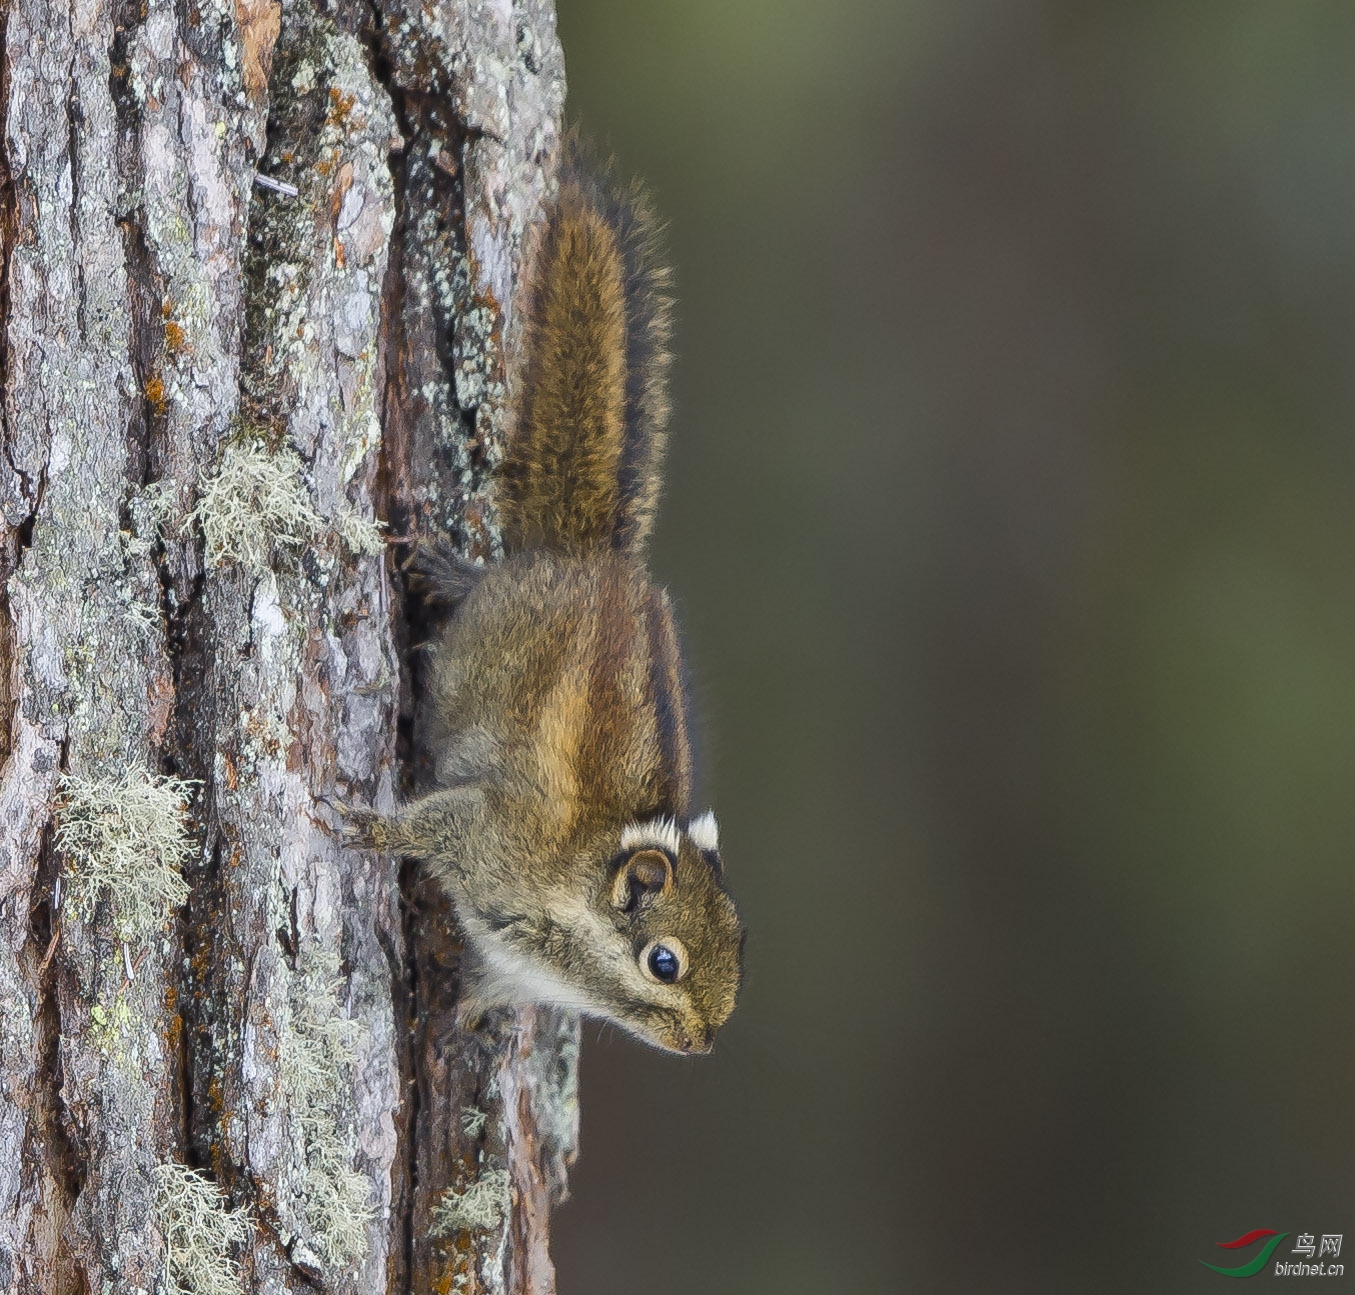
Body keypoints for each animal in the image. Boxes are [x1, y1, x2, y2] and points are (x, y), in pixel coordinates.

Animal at [349, 144, 747, 1051]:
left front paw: (457, 1017)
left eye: (743, 937)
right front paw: (370, 825)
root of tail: (591, 555)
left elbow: (486, 988)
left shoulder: (518, 963)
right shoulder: (492, 833)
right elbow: (428, 824)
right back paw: (445, 573)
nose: (705, 1042)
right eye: (663, 961)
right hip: (485, 640)